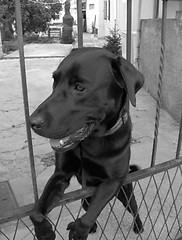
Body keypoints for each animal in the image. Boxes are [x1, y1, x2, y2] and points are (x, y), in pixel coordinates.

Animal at [29, 47, 144, 239]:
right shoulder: (61, 174)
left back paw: (138, 226)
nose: (32, 122)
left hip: (126, 193)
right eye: (55, 81)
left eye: (79, 87)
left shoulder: (114, 180)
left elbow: (90, 214)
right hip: (85, 199)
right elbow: (35, 212)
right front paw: (44, 231)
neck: (92, 142)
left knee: (133, 208)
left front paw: (79, 230)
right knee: (87, 206)